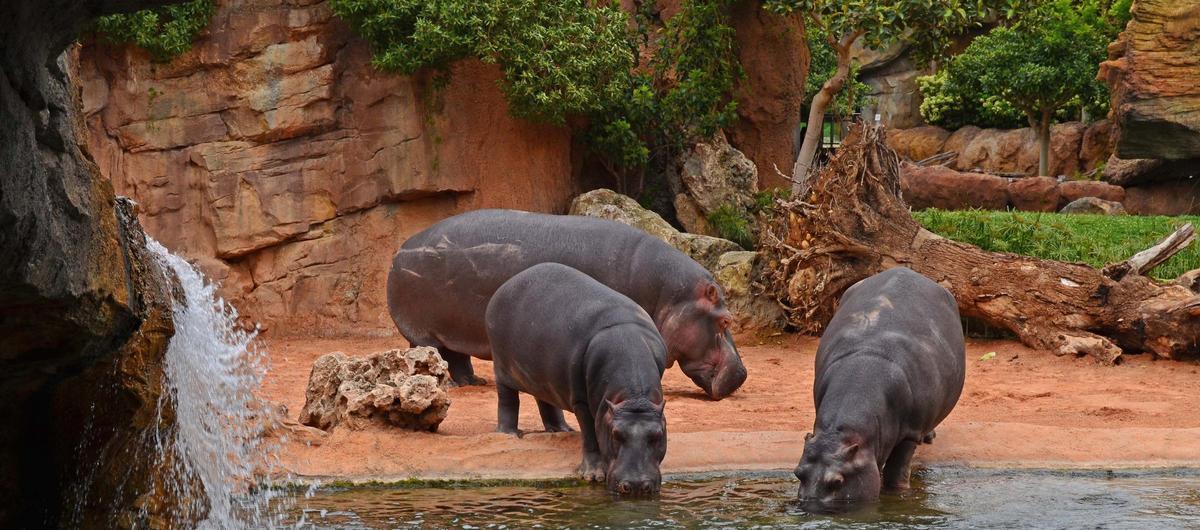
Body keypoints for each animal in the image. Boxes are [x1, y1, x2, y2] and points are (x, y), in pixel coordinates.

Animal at [384, 208, 744, 400]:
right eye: (726, 320)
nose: (742, 373)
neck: (667, 294)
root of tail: (400, 249)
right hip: (423, 331)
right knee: (431, 353)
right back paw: (448, 384)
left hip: (451, 328)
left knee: (457, 356)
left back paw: (472, 382)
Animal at [489, 262, 676, 494]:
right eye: (615, 433)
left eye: (657, 435)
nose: (636, 486)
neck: (633, 398)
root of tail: (506, 284)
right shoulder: (581, 400)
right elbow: (590, 434)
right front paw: (593, 475)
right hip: (502, 368)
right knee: (507, 400)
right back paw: (510, 434)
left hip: (544, 376)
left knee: (546, 400)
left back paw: (561, 430)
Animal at [796, 267, 964, 510]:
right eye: (798, 473)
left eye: (837, 481)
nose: (808, 508)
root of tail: (909, 272)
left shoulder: (910, 432)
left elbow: (897, 472)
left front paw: (898, 493)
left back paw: (929, 437)